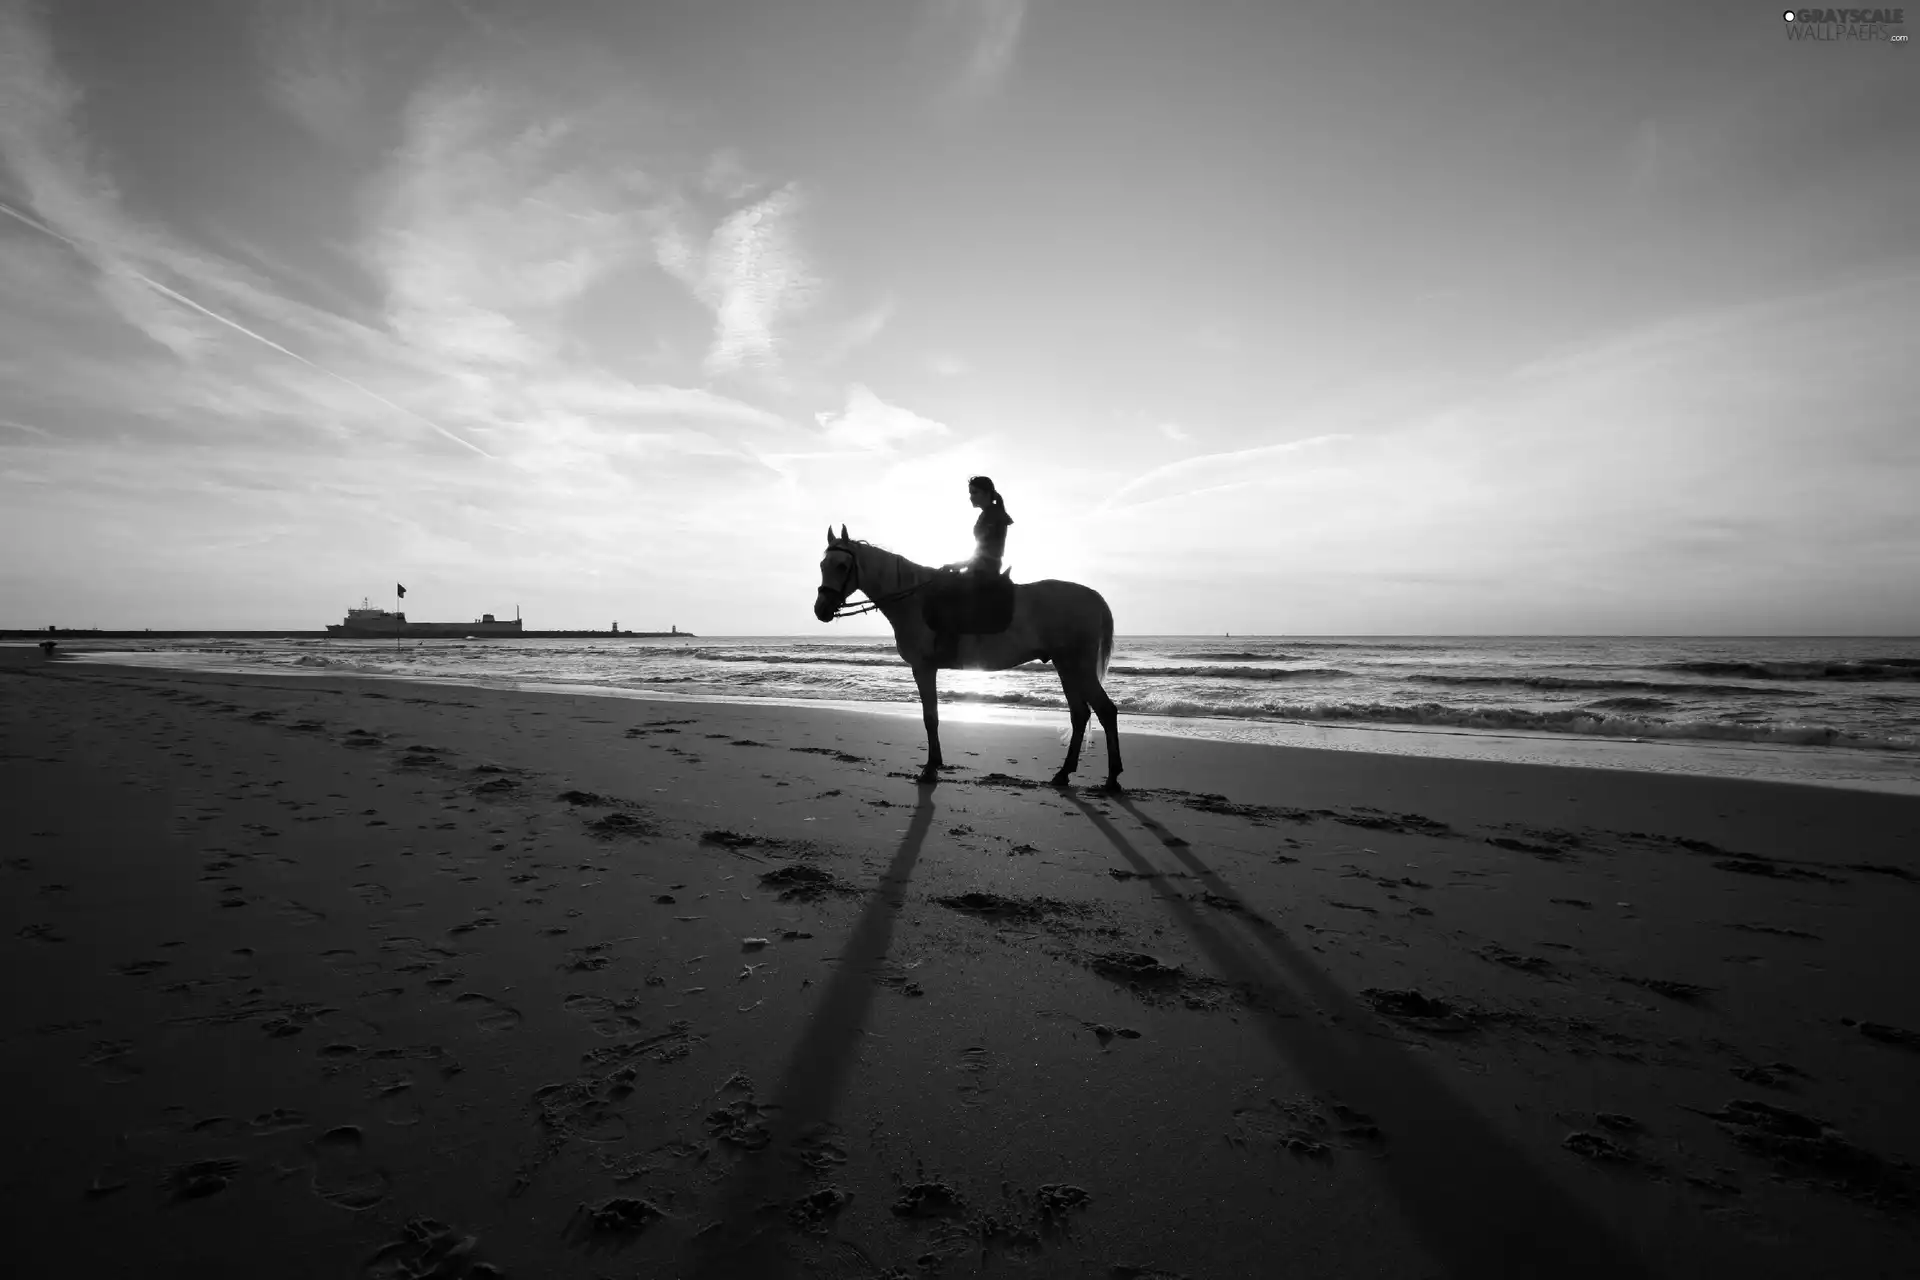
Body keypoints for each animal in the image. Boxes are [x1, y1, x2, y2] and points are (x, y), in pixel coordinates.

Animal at [814, 521, 1121, 790]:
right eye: (822, 565)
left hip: (1077, 665)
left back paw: (1112, 779)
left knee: (1105, 711)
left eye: (842, 566)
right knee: (1080, 715)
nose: (821, 609)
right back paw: (1064, 774)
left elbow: (930, 717)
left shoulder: (923, 667)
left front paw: (930, 768)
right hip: (1065, 666)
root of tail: (1094, 597)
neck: (914, 600)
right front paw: (935, 763)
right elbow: (932, 716)